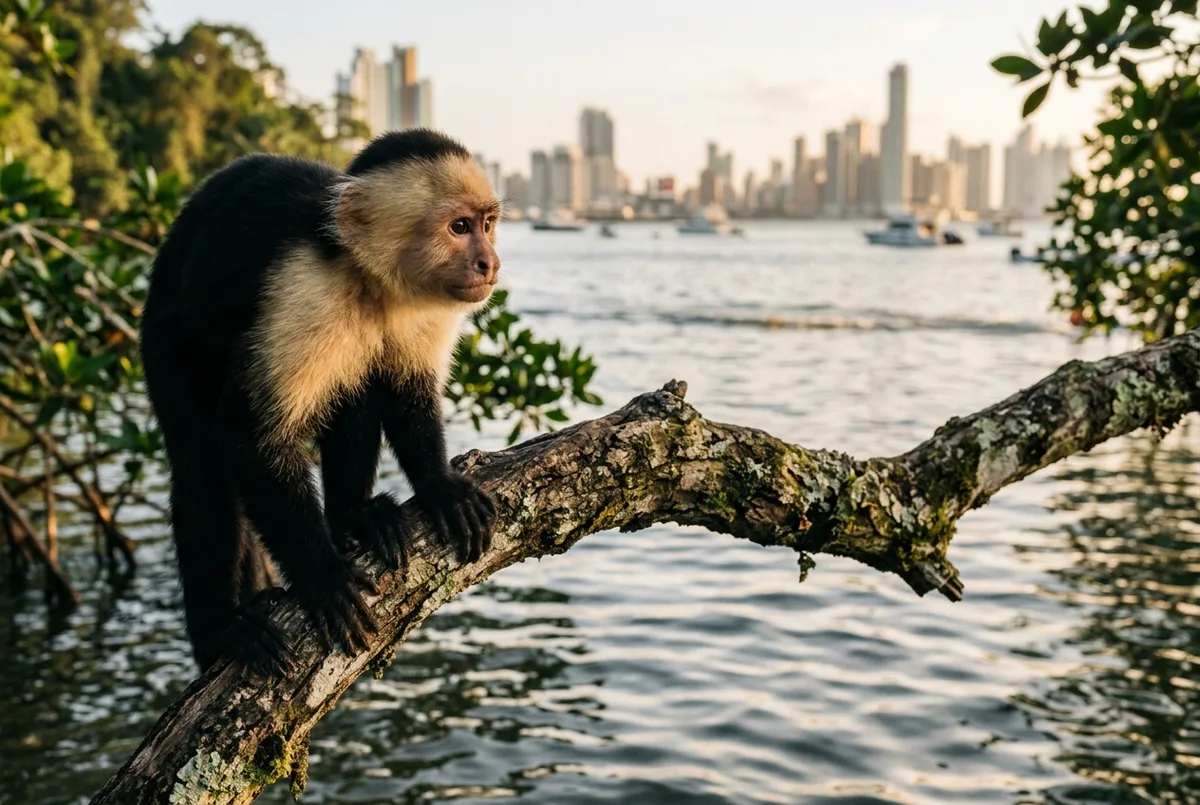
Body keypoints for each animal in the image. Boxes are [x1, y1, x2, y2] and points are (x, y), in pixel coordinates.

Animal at [139, 129, 500, 677]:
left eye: (487, 224)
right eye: (459, 227)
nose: (489, 263)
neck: (368, 277)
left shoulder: (427, 301)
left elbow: (408, 391)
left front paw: (439, 486)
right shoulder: (304, 287)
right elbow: (250, 435)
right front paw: (322, 575)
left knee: (354, 392)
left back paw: (354, 516)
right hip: (163, 341)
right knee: (201, 459)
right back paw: (220, 630)